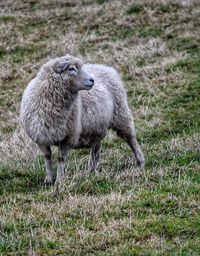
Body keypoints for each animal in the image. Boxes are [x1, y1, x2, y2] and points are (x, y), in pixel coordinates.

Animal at [20, 54, 145, 186]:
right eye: (71, 69)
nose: (92, 80)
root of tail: (104, 67)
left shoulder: (68, 136)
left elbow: (61, 158)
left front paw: (59, 181)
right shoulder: (41, 136)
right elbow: (47, 156)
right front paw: (48, 180)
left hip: (121, 115)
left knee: (131, 138)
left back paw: (140, 162)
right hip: (97, 127)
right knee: (96, 148)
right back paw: (92, 171)